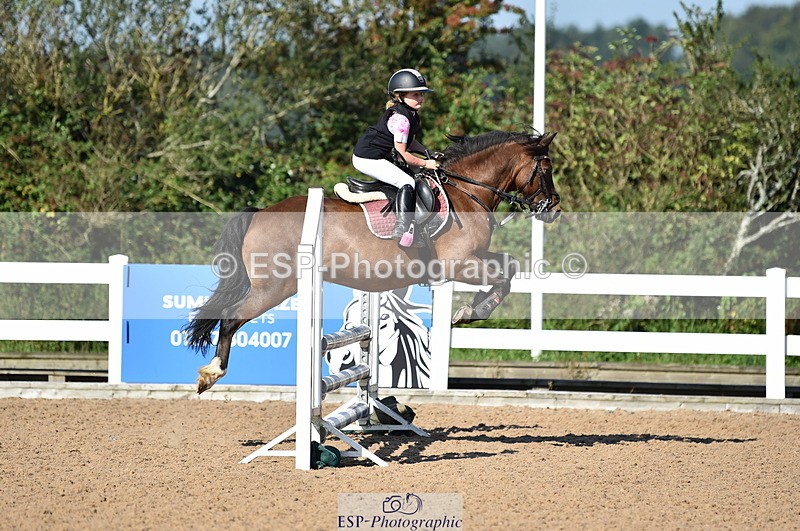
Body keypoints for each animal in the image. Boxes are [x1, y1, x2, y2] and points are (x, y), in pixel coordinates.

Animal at [185, 130, 561, 393]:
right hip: (274, 287)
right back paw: (211, 374)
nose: (554, 210)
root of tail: (261, 212)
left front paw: (472, 309)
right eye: (546, 169)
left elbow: (509, 267)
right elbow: (503, 275)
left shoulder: (477, 258)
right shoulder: (458, 264)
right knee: (231, 317)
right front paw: (470, 311)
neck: (466, 192)